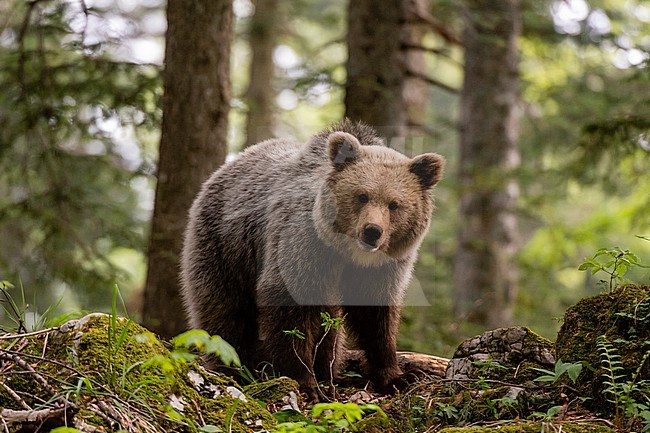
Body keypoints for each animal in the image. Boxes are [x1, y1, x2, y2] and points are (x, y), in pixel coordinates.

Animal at [177, 120, 442, 396]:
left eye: (394, 204)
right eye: (362, 196)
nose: (372, 231)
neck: (347, 253)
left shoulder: (382, 268)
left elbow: (375, 315)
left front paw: (397, 376)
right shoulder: (302, 243)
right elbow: (289, 304)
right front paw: (304, 381)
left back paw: (327, 370)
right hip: (225, 247)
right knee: (225, 311)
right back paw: (236, 366)